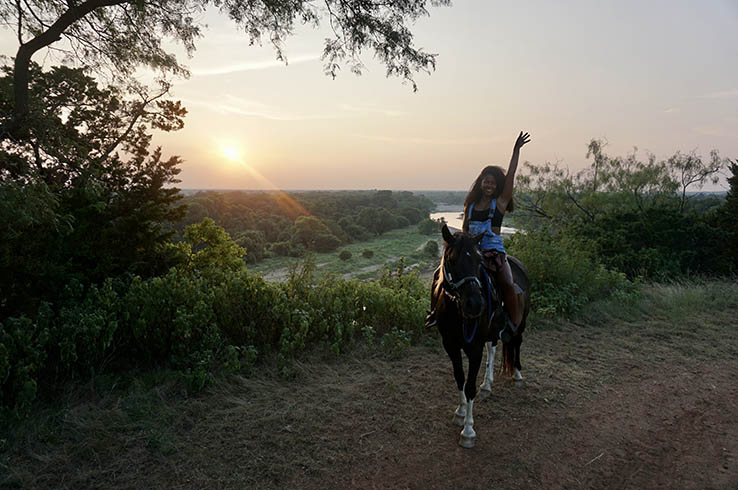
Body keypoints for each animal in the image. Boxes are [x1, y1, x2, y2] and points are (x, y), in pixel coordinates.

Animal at [432, 225, 528, 448]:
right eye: (451, 260)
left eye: (478, 261)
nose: (475, 304)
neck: (456, 312)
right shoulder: (450, 345)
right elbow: (460, 379)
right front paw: (460, 412)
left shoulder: (474, 349)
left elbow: (469, 387)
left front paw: (468, 431)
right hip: (492, 331)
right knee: (492, 347)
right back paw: (487, 384)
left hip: (522, 322)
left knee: (517, 342)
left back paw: (517, 374)